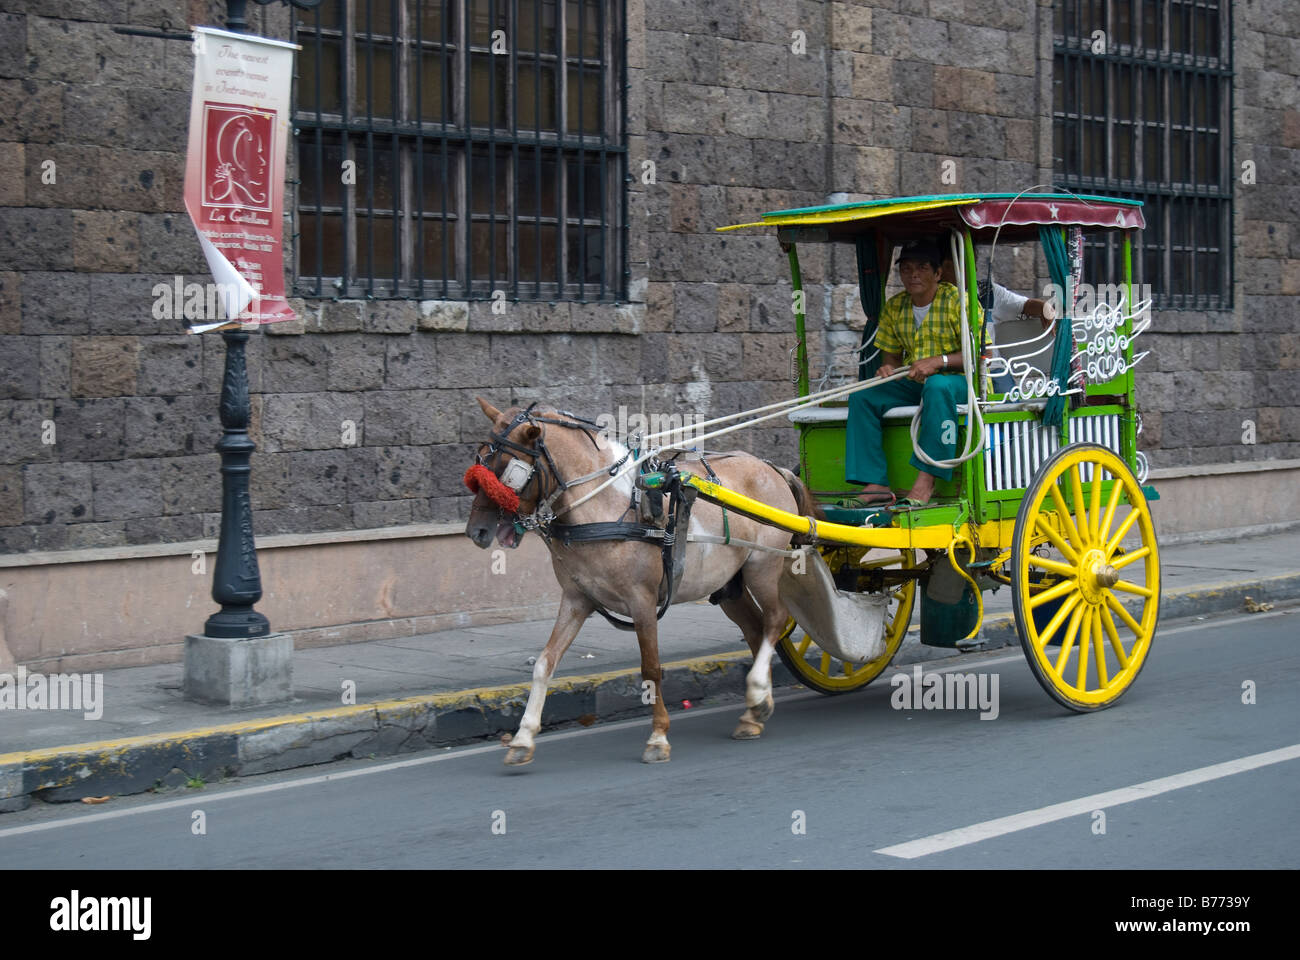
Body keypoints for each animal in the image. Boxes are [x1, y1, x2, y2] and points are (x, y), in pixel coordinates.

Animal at [462, 395, 816, 764]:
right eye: (478, 461)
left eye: (507, 470)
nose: (477, 531)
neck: (606, 503)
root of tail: (772, 468)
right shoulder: (577, 599)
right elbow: (545, 662)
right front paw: (522, 738)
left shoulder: (642, 601)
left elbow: (651, 668)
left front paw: (658, 737)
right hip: (728, 586)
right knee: (756, 630)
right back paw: (755, 711)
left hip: (764, 565)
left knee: (776, 619)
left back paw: (758, 691)